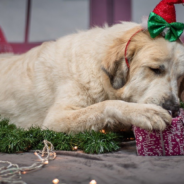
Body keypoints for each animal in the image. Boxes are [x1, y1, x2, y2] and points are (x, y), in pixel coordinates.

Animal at [0, 22, 184, 133]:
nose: (174, 108)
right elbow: (106, 105)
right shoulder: (54, 120)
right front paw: (143, 112)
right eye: (155, 69)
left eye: (180, 78)